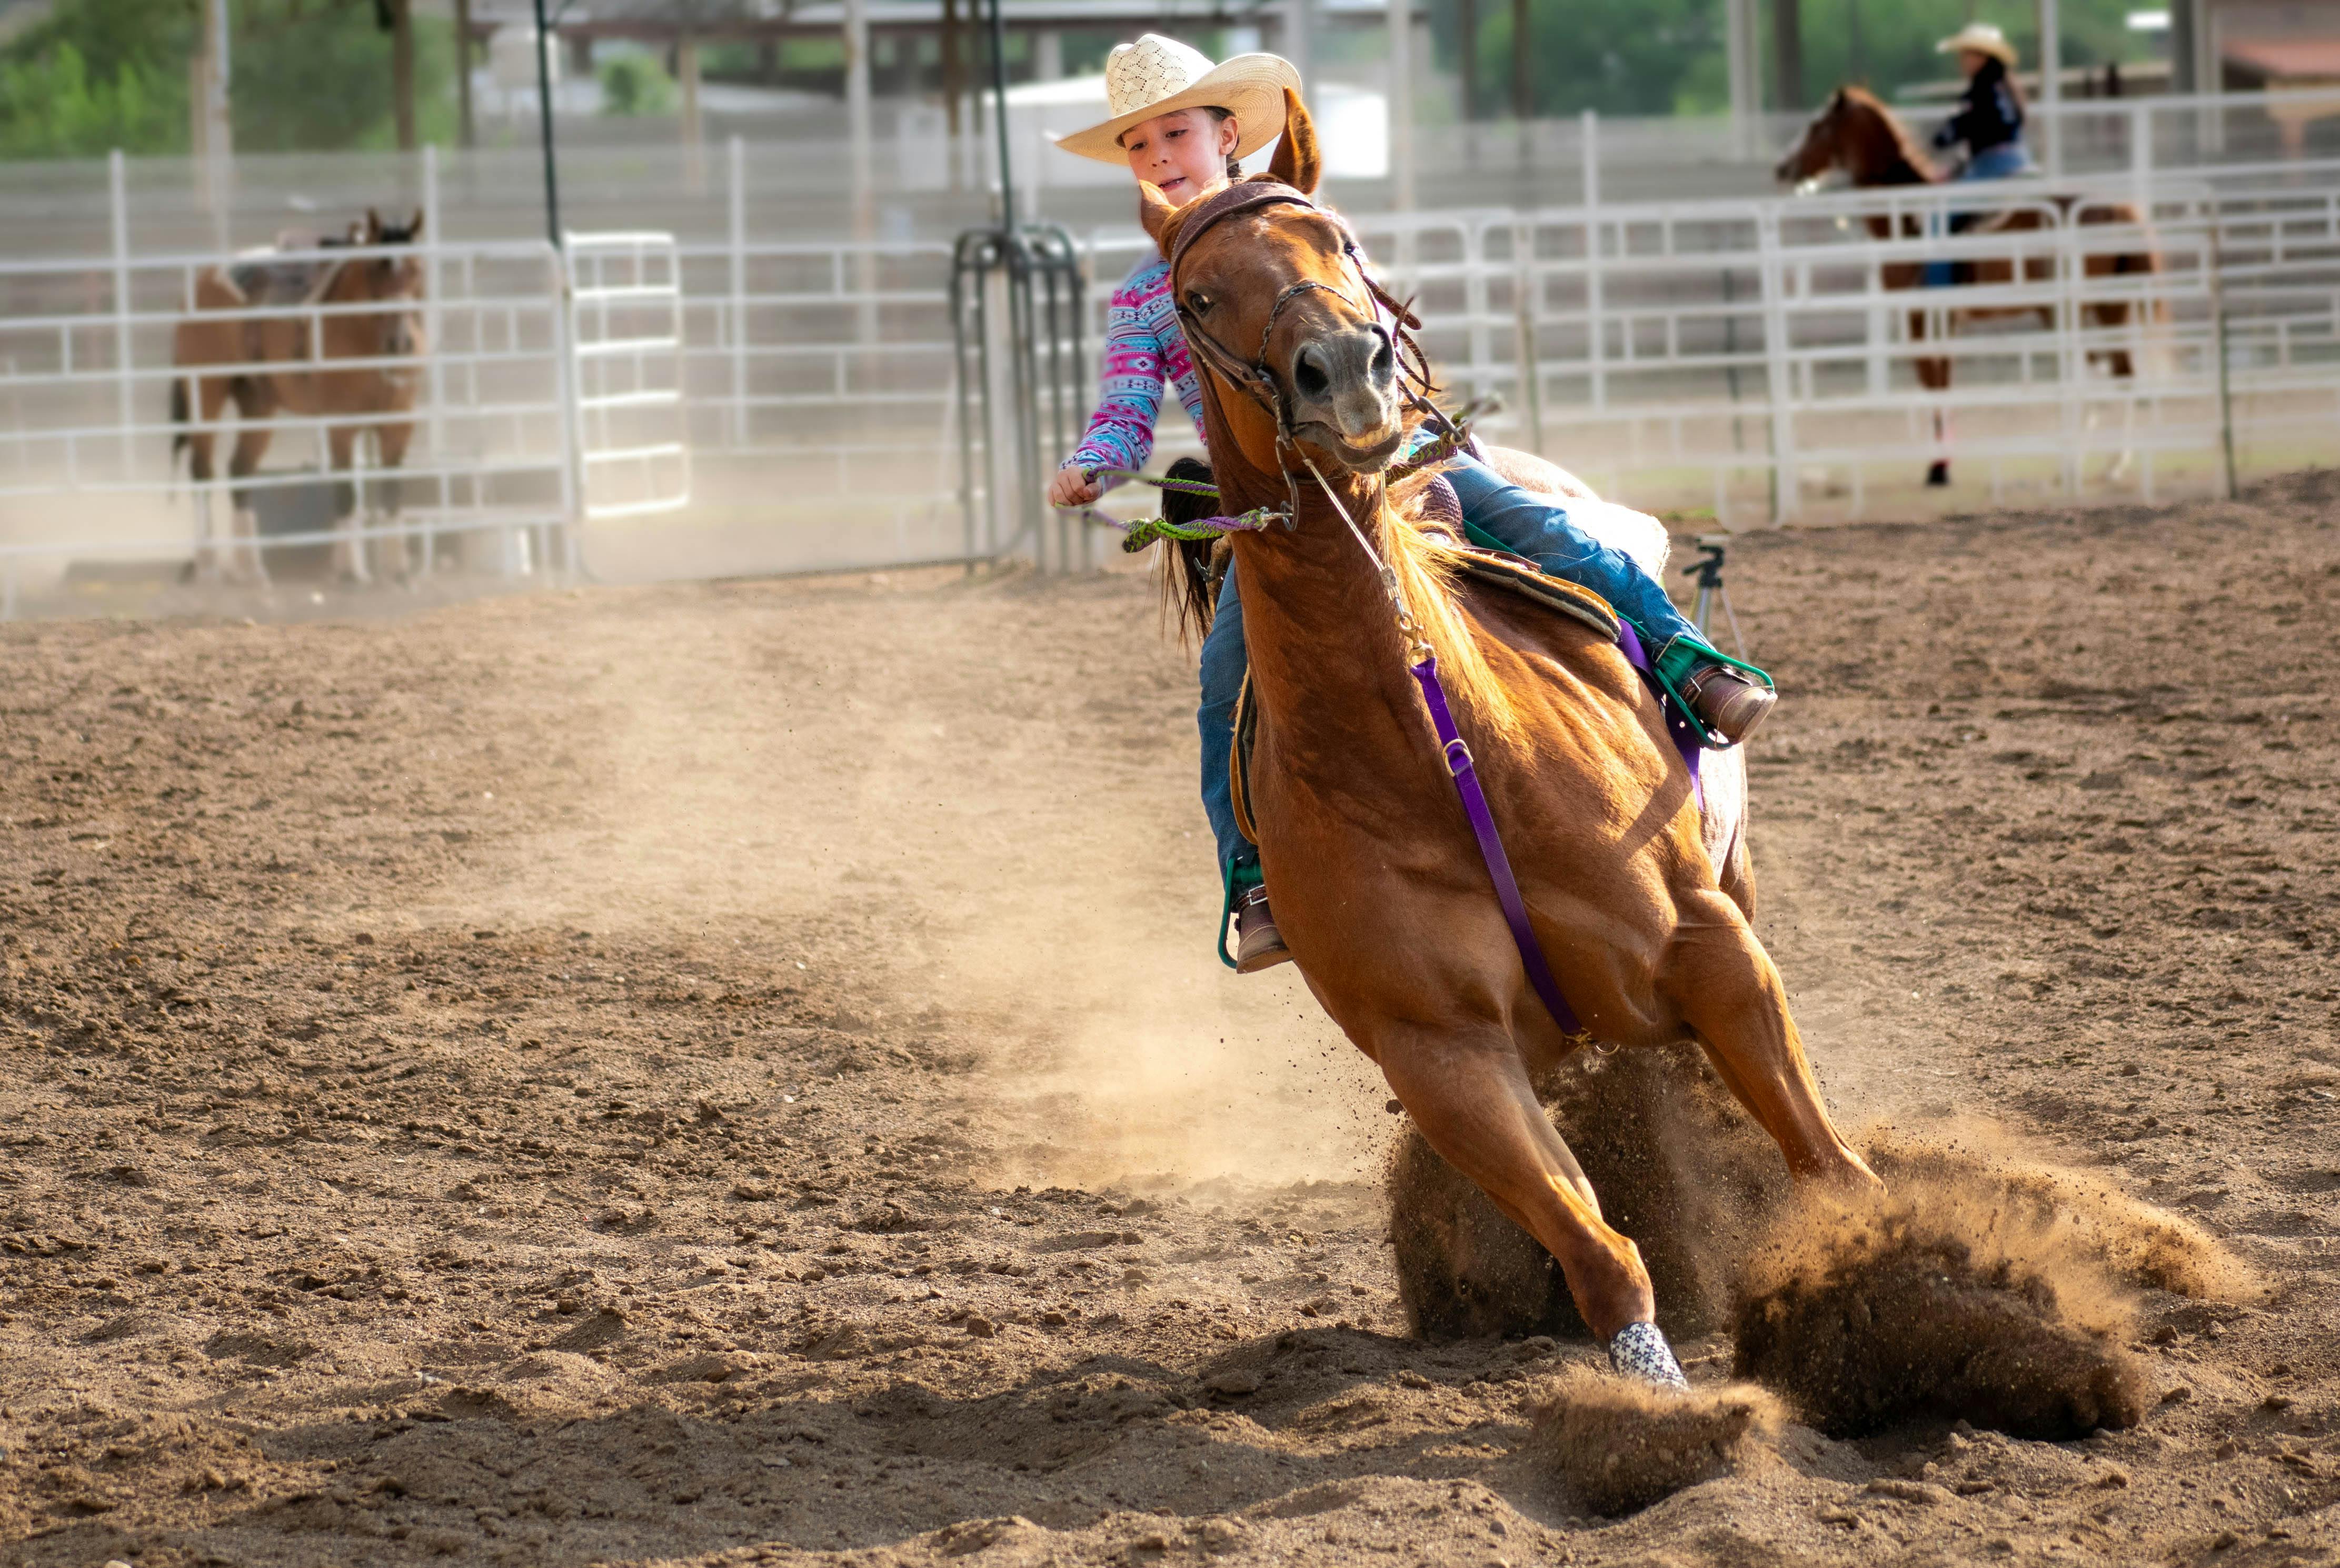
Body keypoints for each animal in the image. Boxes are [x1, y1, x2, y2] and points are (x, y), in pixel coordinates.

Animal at [175, 212, 433, 587]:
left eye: (417, 269)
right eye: (375, 269)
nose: (401, 341)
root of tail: (203, 281)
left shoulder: (398, 422)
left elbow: (391, 492)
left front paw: (396, 571)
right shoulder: (341, 424)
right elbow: (346, 493)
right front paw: (351, 573)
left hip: (258, 404)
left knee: (240, 470)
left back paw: (251, 570)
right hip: (207, 392)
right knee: (202, 470)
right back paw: (208, 567)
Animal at [1156, 95, 1881, 1385]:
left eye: (1337, 238)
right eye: (1194, 295)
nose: (1346, 371)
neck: (1435, 752)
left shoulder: (1712, 947)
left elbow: (1826, 1165)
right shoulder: (1441, 1056)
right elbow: (1599, 1252)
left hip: (1731, 868)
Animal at [1769, 86, 2171, 489]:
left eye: (1815, 125)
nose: (1782, 167)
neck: (1909, 219)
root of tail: (2119, 210)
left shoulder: (1919, 319)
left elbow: (1933, 383)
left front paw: (1938, 468)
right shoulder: (1946, 320)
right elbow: (1943, 382)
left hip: (2068, 310)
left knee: (2096, 373)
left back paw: (2087, 461)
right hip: (2108, 306)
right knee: (2120, 373)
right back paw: (2108, 462)